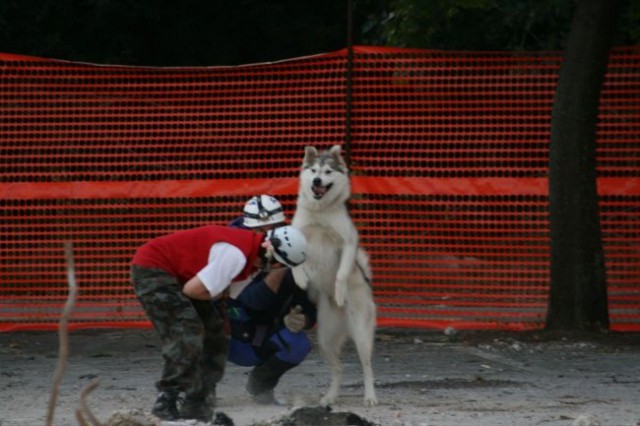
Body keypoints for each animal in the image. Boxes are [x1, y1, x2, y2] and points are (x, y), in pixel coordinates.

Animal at [292, 145, 378, 408]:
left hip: (361, 335)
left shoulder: (348, 243)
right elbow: (295, 264)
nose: (317, 181)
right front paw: (301, 279)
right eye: (314, 171)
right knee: (338, 369)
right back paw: (330, 397)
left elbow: (341, 273)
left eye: (328, 171)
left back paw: (370, 397)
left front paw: (340, 292)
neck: (320, 213)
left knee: (367, 368)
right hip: (325, 339)